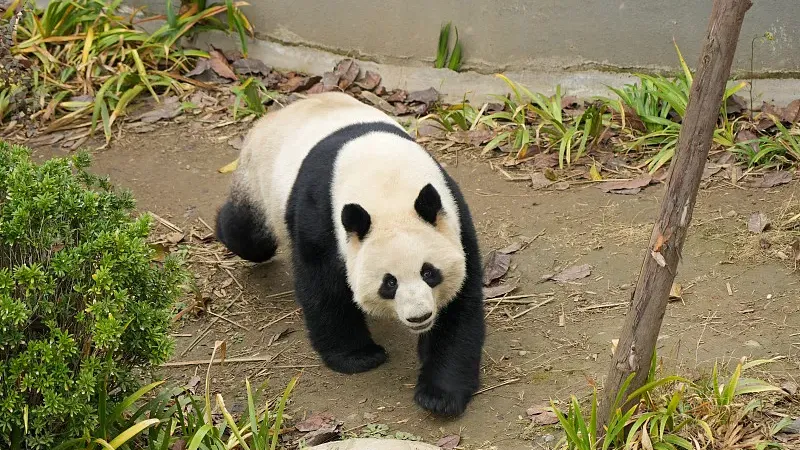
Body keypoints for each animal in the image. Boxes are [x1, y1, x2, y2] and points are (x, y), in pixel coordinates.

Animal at [215, 92, 485, 417]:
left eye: (429, 272)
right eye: (389, 283)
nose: (419, 316)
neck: (386, 183)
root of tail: (278, 113)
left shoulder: (454, 216)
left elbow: (460, 305)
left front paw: (440, 395)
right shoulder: (321, 216)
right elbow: (323, 288)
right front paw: (358, 356)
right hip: (258, 183)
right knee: (249, 235)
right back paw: (223, 227)